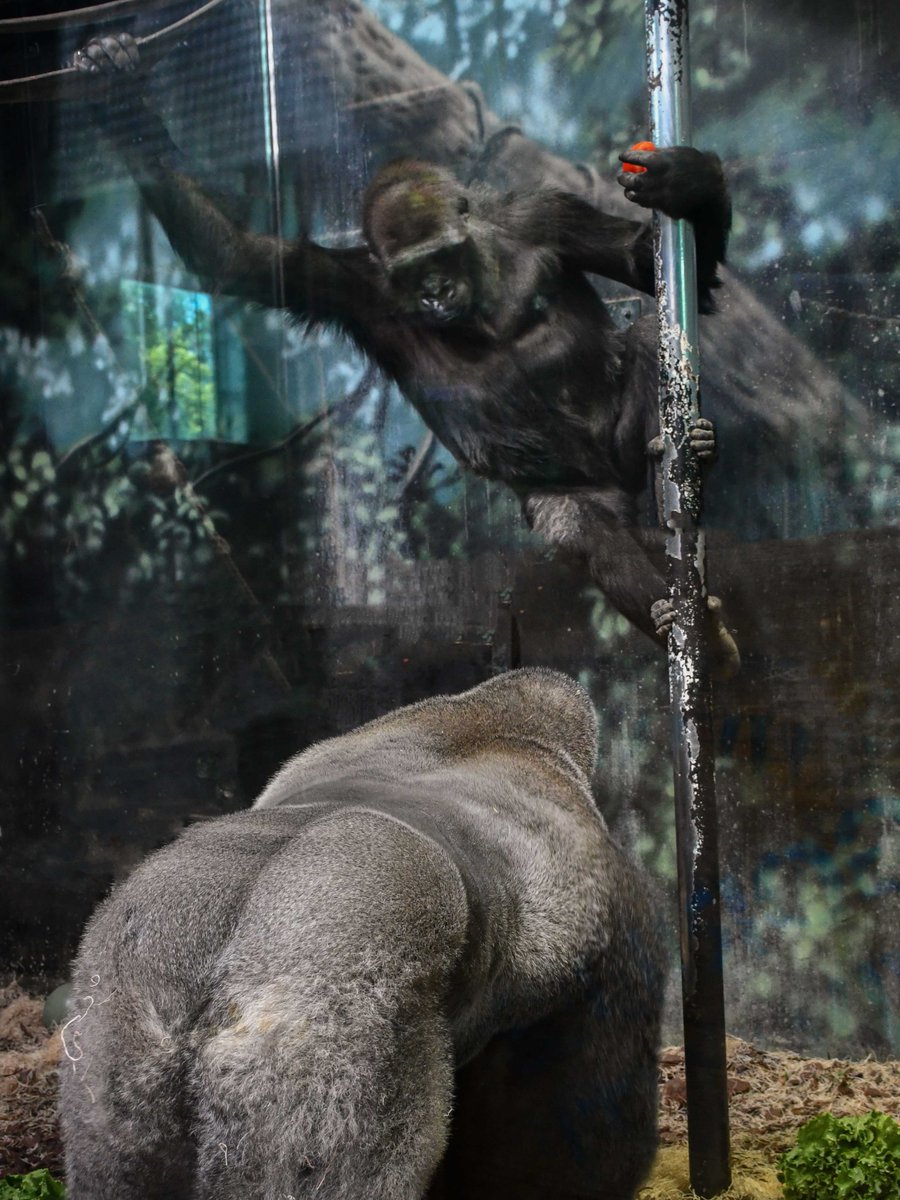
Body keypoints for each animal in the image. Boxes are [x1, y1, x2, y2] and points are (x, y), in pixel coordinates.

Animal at [73, 33, 738, 674]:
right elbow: (237, 258)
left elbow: (640, 265)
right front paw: (119, 97)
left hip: (625, 456)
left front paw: (691, 181)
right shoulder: (354, 287)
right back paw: (687, 623)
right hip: (579, 489)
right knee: (584, 527)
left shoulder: (544, 213)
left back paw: (691, 478)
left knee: (650, 336)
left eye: (441, 256)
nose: (436, 293)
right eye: (414, 271)